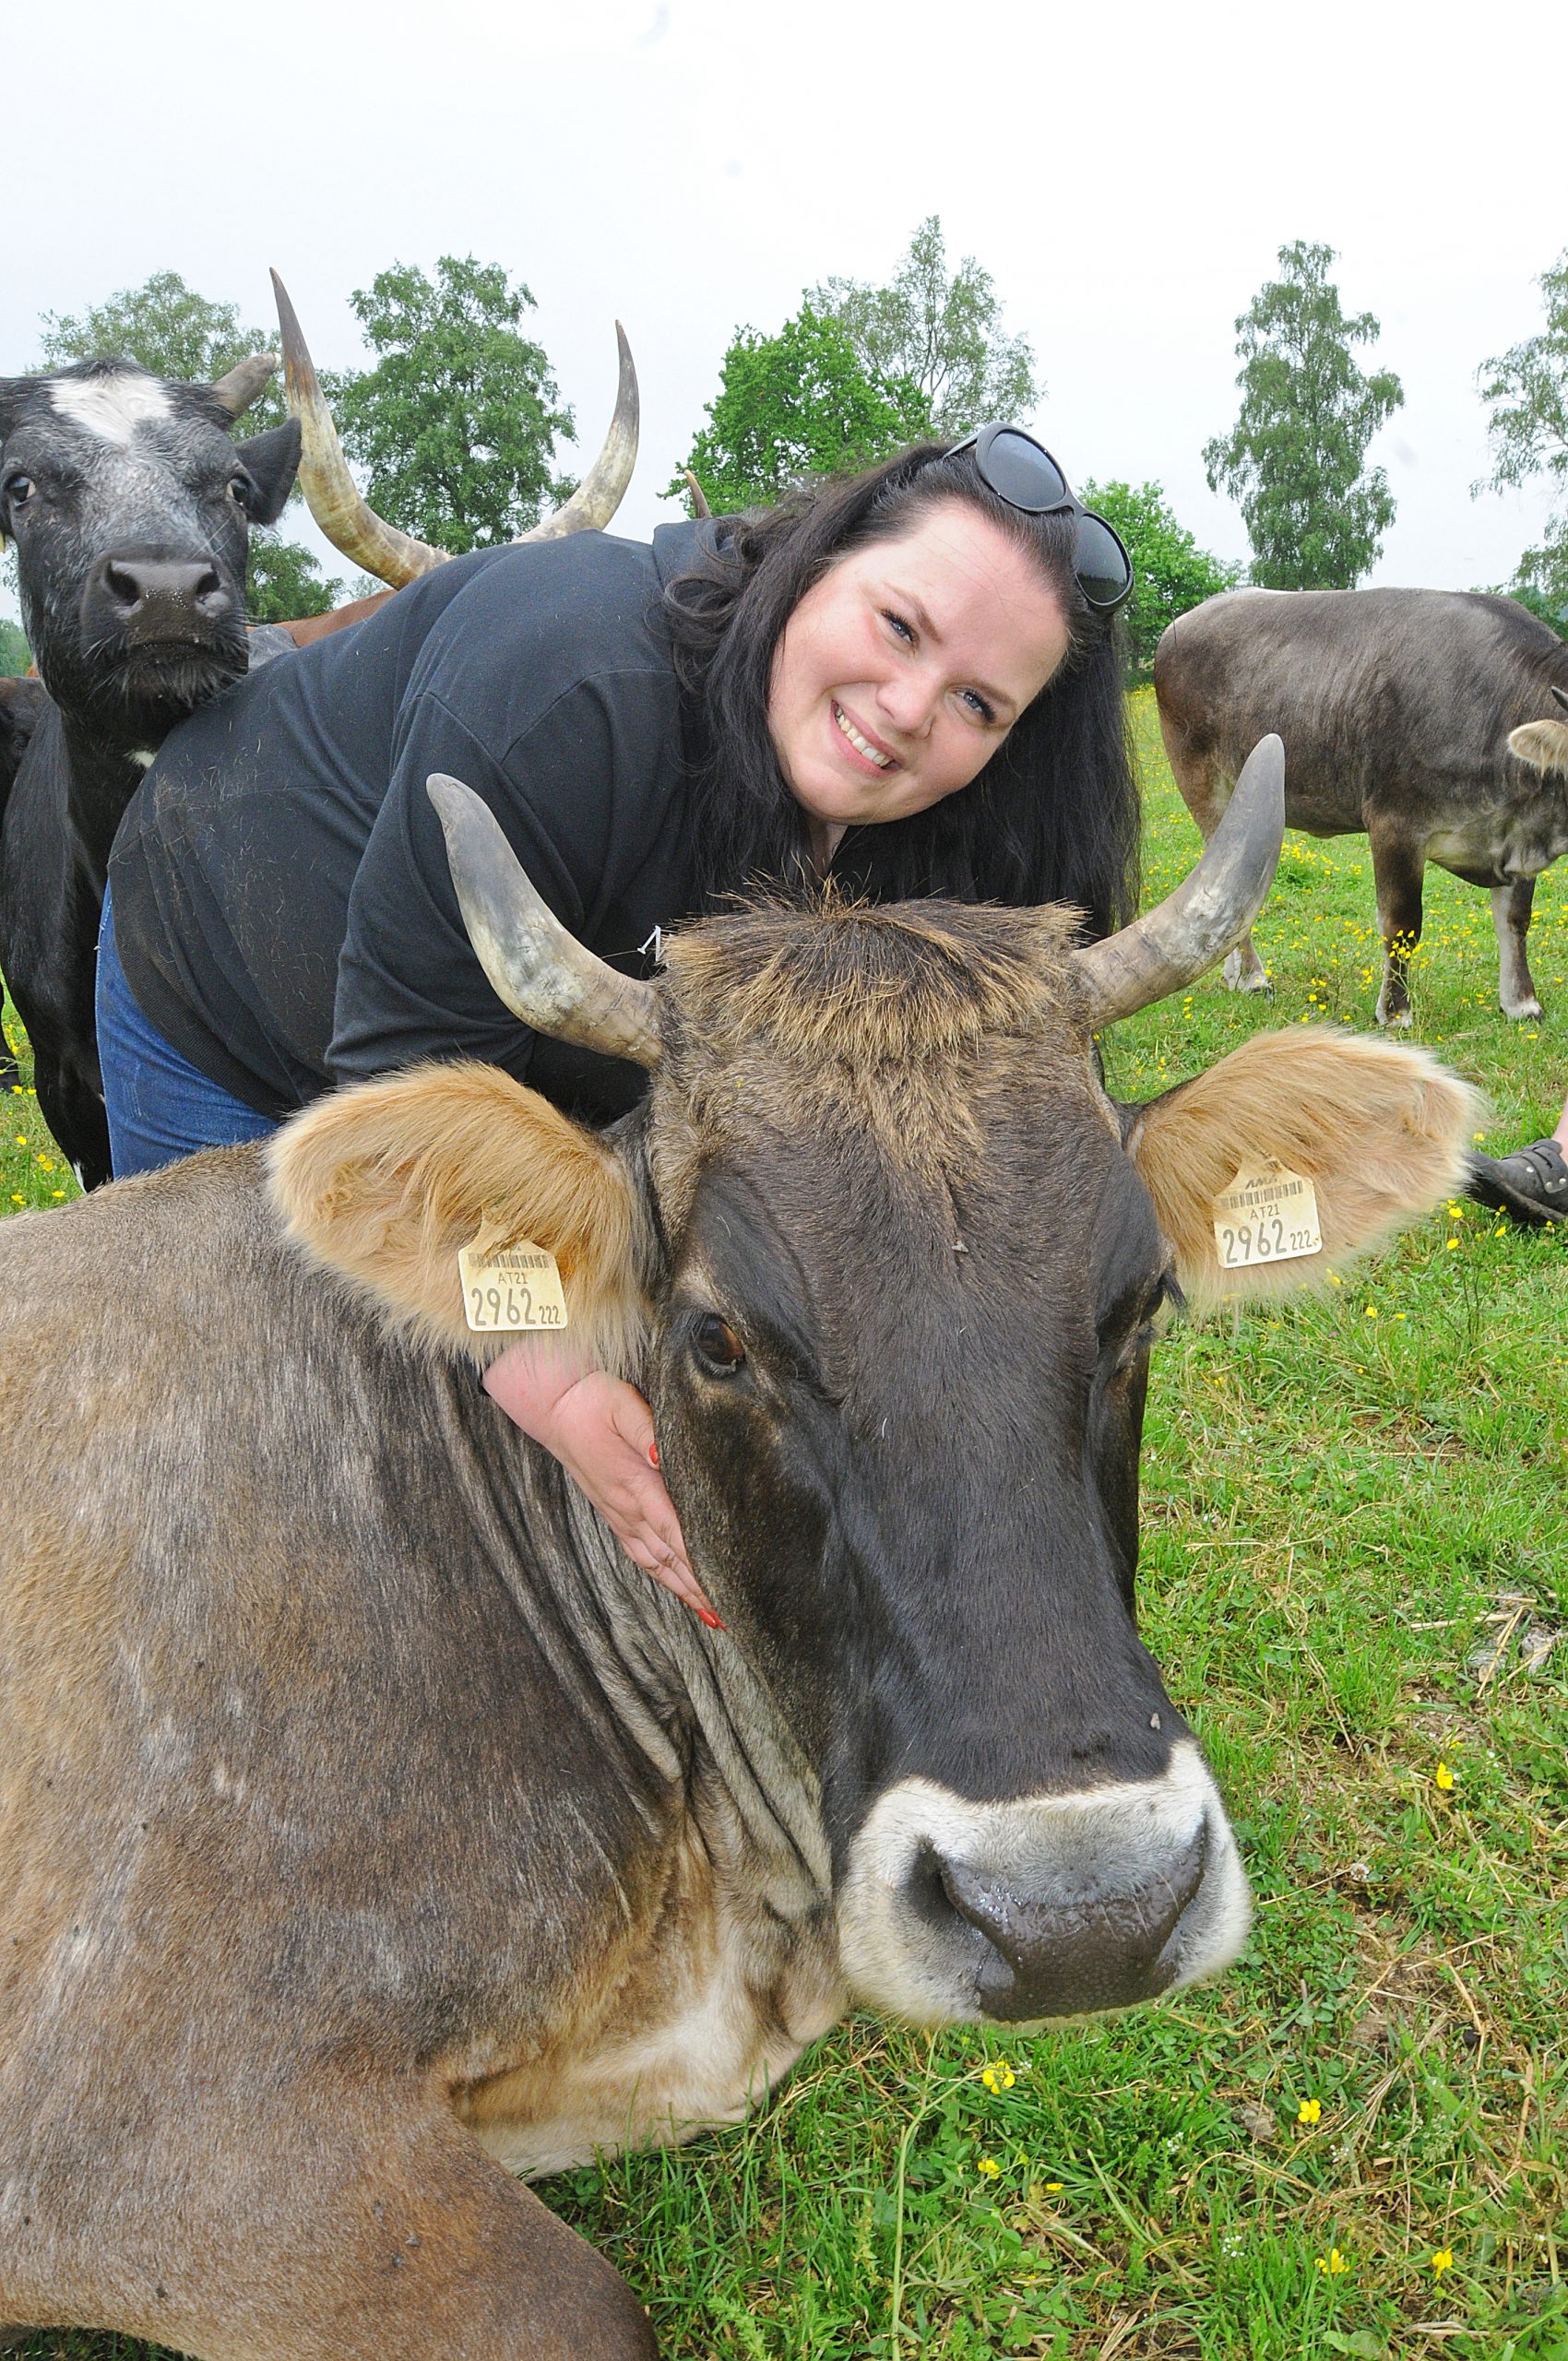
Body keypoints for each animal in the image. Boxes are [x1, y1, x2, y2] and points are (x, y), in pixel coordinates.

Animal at [1152, 585, 1568, 1019]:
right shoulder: (1394, 824)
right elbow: (1402, 924)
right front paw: (1397, 1011)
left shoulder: (1520, 833)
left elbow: (1515, 920)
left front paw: (1522, 1003)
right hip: (1200, 779)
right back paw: (1252, 977)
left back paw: (1234, 974)